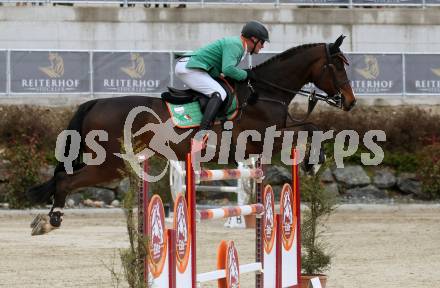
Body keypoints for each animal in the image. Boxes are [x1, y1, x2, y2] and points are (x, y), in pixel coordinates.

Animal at [27, 35, 356, 235]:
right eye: (337, 67)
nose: (351, 102)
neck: (265, 92)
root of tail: (95, 102)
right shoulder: (263, 139)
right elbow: (311, 129)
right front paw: (314, 162)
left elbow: (312, 128)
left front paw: (312, 162)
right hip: (110, 163)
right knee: (66, 180)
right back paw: (51, 220)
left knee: (63, 176)